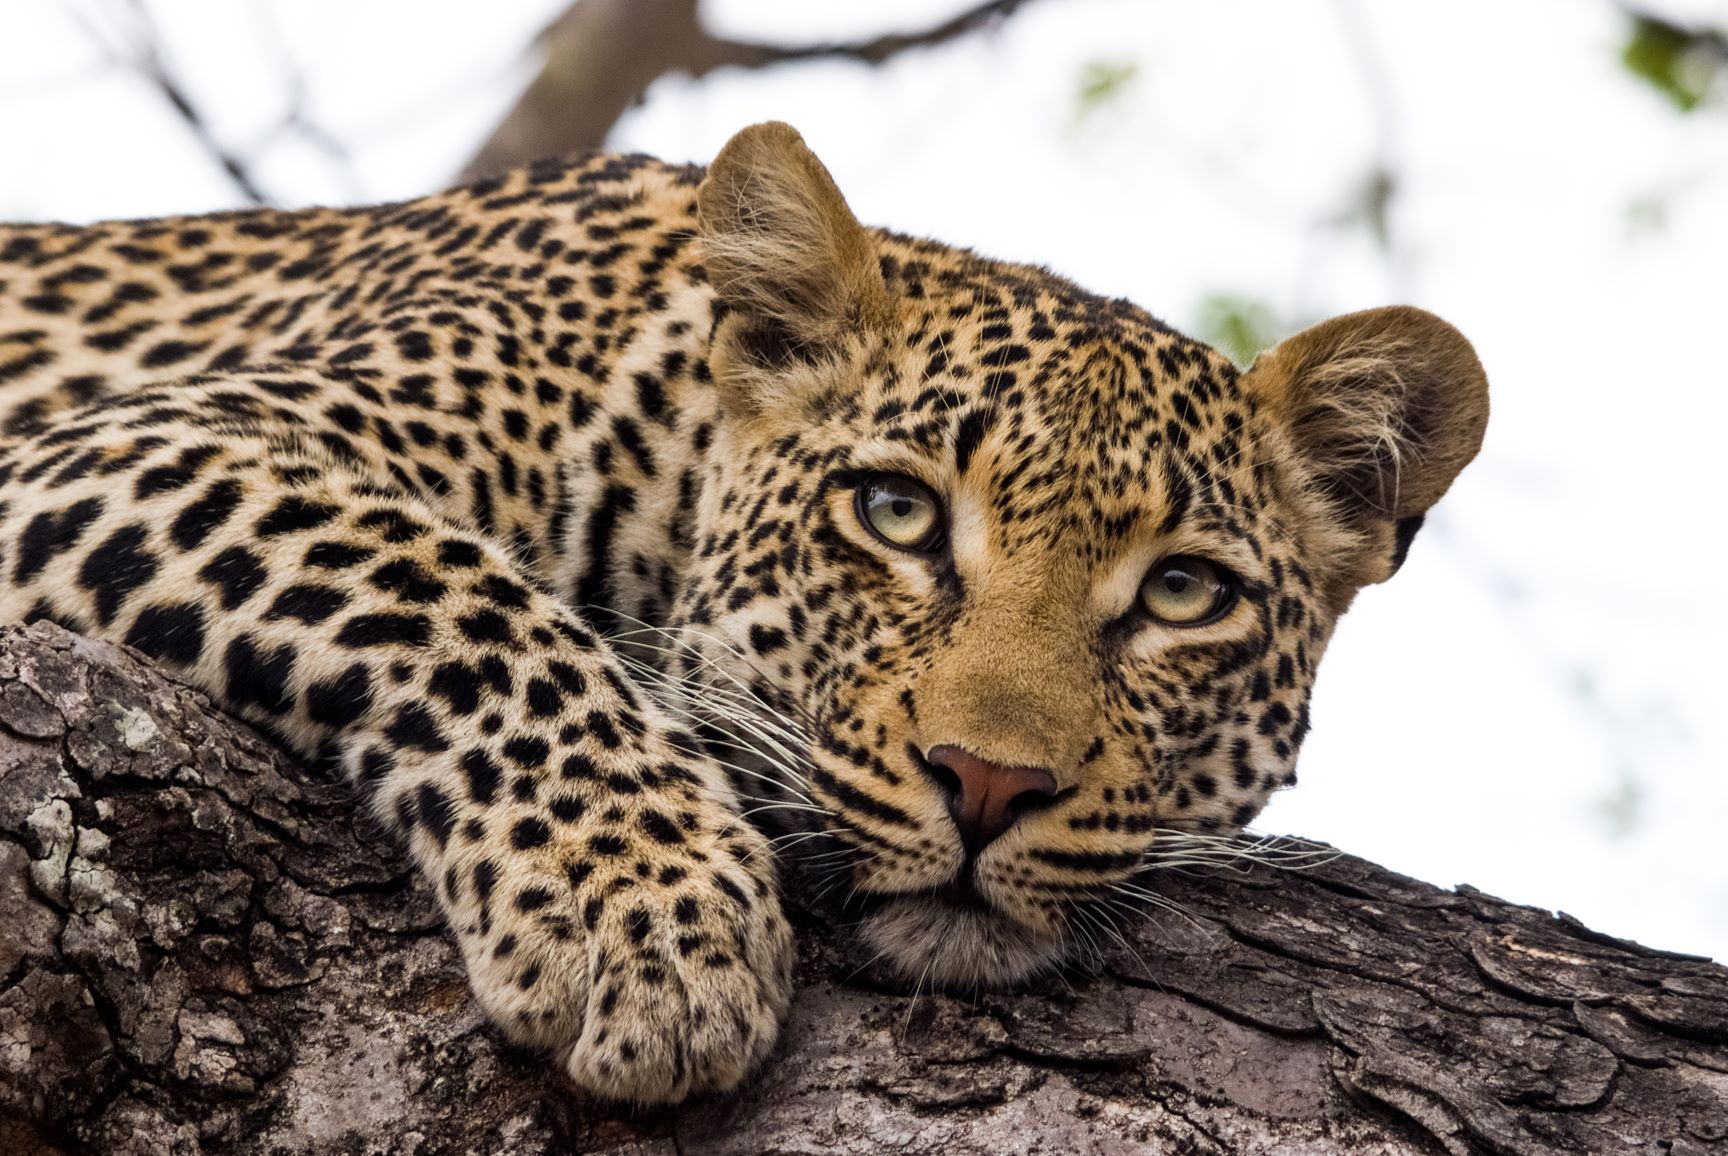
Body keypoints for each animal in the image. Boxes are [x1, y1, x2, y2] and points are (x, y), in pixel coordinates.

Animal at [0, 122, 1488, 1103]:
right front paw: (646, 923)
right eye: (896, 513)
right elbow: (450, 590)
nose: (988, 784)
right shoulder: (148, 437)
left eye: (1184, 592)